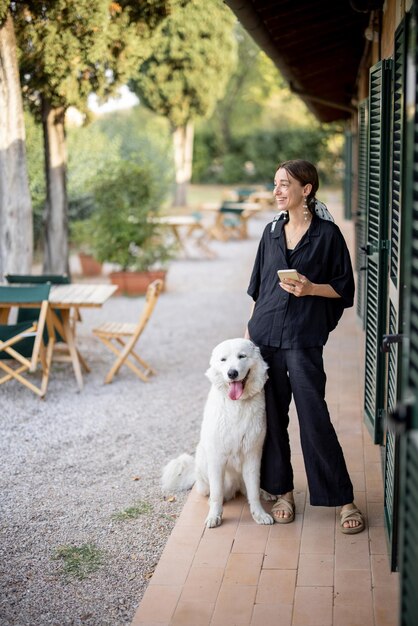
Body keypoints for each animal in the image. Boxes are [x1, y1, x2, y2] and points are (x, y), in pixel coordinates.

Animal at [161, 336, 274, 528]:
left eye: (242, 356)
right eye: (223, 360)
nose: (232, 373)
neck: (237, 404)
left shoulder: (252, 456)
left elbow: (253, 492)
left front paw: (259, 514)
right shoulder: (216, 458)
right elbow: (217, 494)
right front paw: (215, 516)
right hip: (205, 462)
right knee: (212, 492)